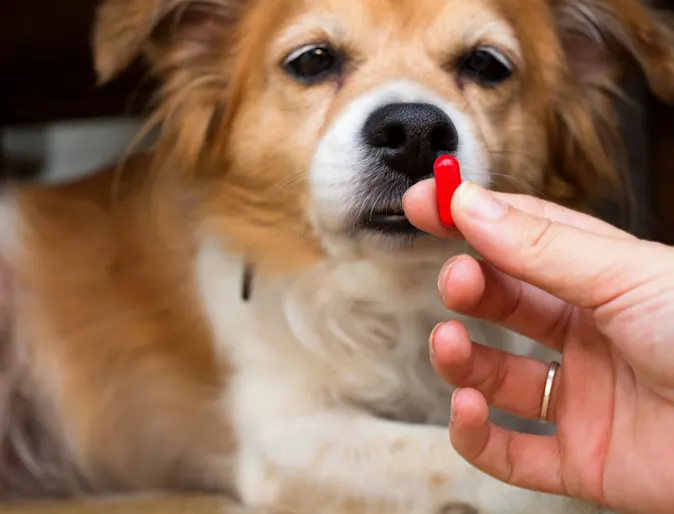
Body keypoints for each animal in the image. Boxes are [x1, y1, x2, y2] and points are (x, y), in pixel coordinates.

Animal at [1, 0, 672, 510]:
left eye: (486, 64)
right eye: (312, 61)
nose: (415, 131)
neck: (394, 289)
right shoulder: (283, 434)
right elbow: (449, 455)